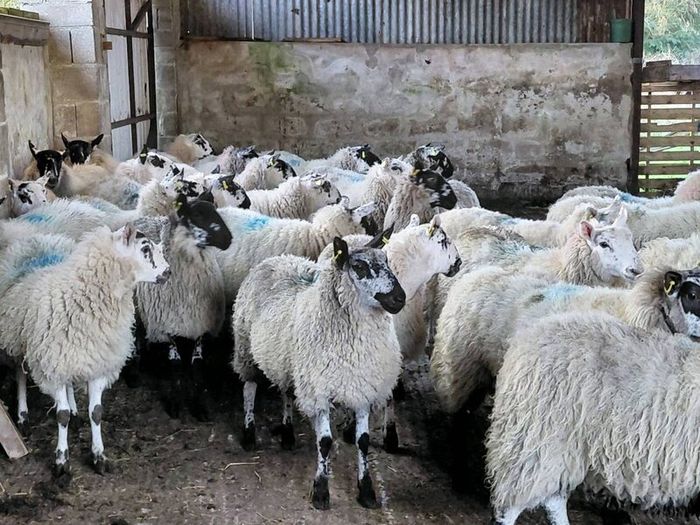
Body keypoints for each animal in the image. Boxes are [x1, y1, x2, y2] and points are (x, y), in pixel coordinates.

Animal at [0, 223, 169, 481]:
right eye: (146, 249)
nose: (168, 272)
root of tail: (34, 240)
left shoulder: (96, 363)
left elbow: (96, 412)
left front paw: (99, 456)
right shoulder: (53, 367)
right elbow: (61, 415)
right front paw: (61, 461)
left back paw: (74, 411)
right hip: (19, 341)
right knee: (20, 375)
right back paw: (22, 415)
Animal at [134, 196, 232, 420]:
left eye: (215, 209)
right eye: (196, 215)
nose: (228, 239)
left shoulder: (197, 327)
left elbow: (192, 367)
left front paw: (197, 406)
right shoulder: (167, 327)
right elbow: (176, 367)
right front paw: (174, 405)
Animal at [232, 235, 405, 509]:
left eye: (387, 260)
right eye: (360, 267)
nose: (400, 298)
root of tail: (278, 258)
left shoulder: (362, 389)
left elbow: (363, 441)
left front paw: (366, 491)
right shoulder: (319, 391)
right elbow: (324, 442)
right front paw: (321, 491)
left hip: (289, 364)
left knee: (287, 392)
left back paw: (288, 433)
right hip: (245, 348)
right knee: (249, 388)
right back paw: (249, 433)